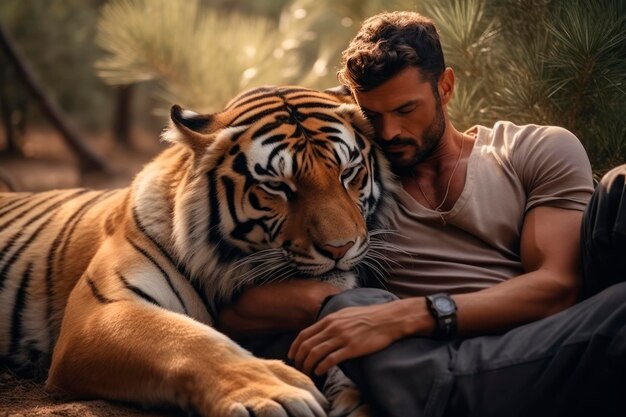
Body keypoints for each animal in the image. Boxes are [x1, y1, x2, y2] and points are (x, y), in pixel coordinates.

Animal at [1, 85, 394, 416]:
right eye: (277, 186)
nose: (339, 248)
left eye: (348, 172)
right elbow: (188, 342)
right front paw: (275, 394)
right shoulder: (100, 311)